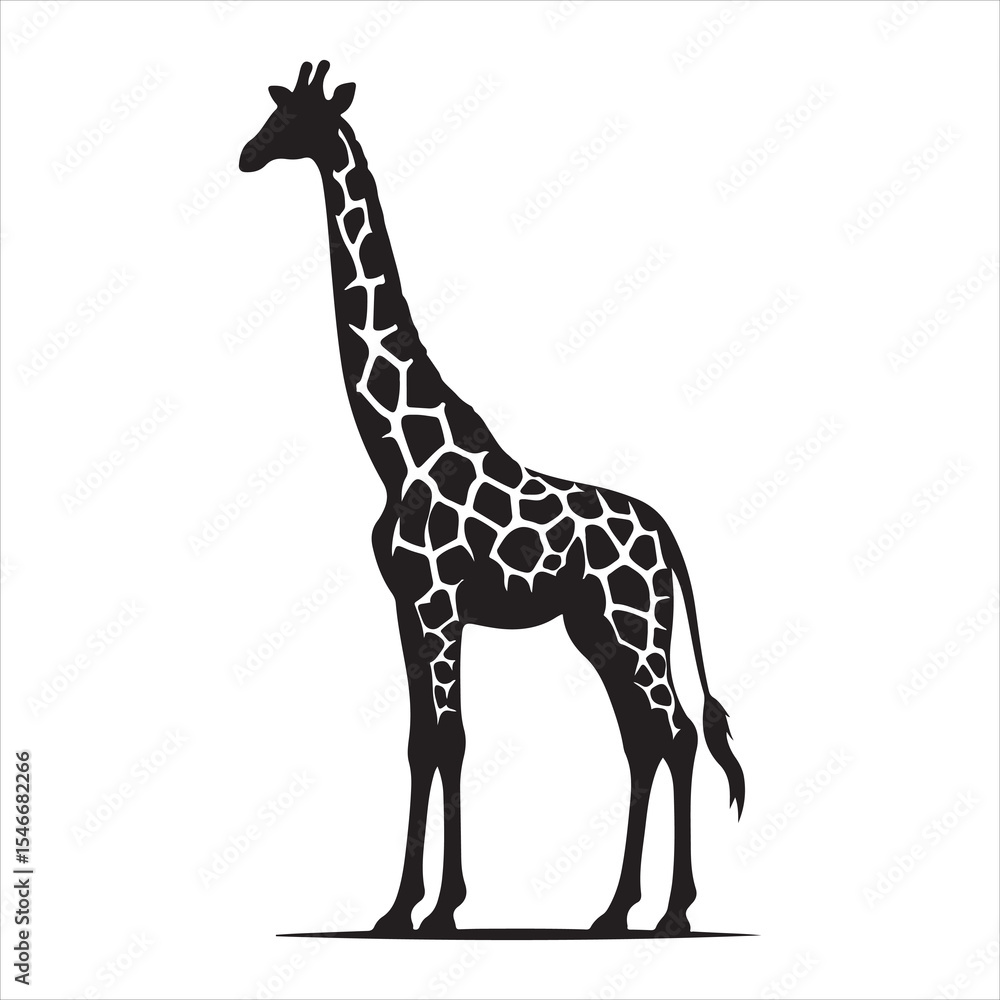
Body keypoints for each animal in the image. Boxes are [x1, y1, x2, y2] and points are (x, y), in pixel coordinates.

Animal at [240, 62, 745, 936]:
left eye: (295, 122)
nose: (245, 155)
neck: (398, 452)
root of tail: (665, 535)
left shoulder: (441, 604)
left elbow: (450, 739)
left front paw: (441, 908)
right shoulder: (408, 606)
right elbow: (423, 742)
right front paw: (399, 909)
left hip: (634, 626)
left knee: (675, 731)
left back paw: (674, 913)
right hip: (597, 631)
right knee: (644, 738)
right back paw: (616, 909)